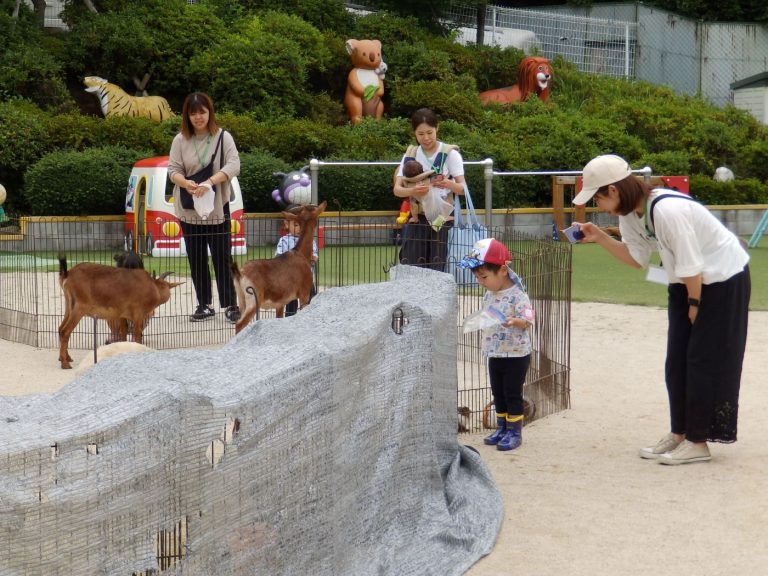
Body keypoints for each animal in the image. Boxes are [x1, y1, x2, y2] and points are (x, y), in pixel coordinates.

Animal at [228, 200, 324, 332]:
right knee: (240, 324)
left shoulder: (280, 304)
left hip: (242, 300)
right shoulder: (304, 294)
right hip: (253, 300)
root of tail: (241, 273)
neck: (299, 253)